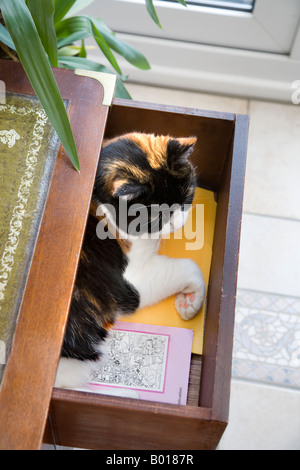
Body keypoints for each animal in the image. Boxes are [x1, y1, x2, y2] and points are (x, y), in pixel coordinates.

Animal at [54, 133, 206, 390]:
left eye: (186, 198)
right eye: (157, 216)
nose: (178, 223)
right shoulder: (135, 283)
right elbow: (189, 266)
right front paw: (192, 301)